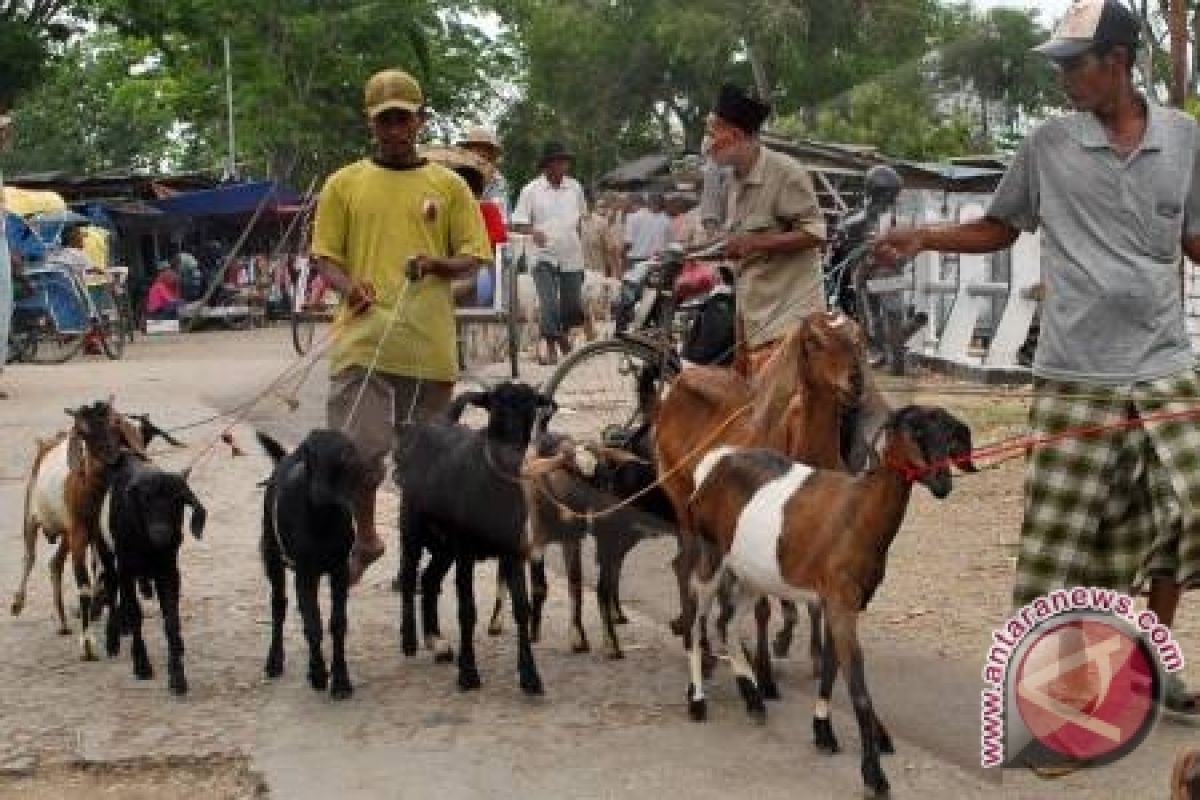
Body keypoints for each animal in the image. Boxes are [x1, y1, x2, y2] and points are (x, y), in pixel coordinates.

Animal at [100, 455, 206, 695]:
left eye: (177, 500)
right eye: (145, 499)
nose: (161, 533)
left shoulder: (168, 572)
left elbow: (171, 620)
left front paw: (177, 676)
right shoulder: (125, 570)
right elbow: (135, 613)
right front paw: (141, 665)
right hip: (106, 554)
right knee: (110, 589)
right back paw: (112, 639)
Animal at [255, 431, 362, 700]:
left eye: (344, 456)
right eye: (309, 455)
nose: (320, 495)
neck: (321, 522)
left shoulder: (340, 569)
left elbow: (337, 623)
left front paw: (341, 681)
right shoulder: (305, 572)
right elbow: (313, 625)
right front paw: (318, 675)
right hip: (272, 554)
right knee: (279, 605)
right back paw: (274, 661)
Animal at [398, 381, 556, 695]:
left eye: (531, 409)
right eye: (495, 408)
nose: (510, 454)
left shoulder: (513, 551)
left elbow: (521, 608)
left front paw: (530, 676)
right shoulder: (466, 552)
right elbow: (467, 610)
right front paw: (468, 673)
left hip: (444, 547)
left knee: (429, 579)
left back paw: (436, 642)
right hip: (413, 527)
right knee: (409, 575)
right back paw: (409, 640)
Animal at [652, 309, 868, 695]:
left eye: (857, 338)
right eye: (814, 341)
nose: (854, 381)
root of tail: (678, 383)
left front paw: (813, 658)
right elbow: (764, 606)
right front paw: (765, 673)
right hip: (680, 497)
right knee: (688, 568)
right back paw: (700, 648)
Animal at [686, 410, 974, 796]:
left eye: (950, 435)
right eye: (914, 430)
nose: (942, 483)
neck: (856, 515)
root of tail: (714, 463)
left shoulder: (842, 605)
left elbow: (829, 670)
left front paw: (823, 732)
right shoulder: (839, 603)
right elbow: (858, 690)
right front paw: (874, 775)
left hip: (753, 574)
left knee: (726, 622)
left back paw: (753, 698)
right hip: (711, 554)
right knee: (694, 618)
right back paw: (698, 701)